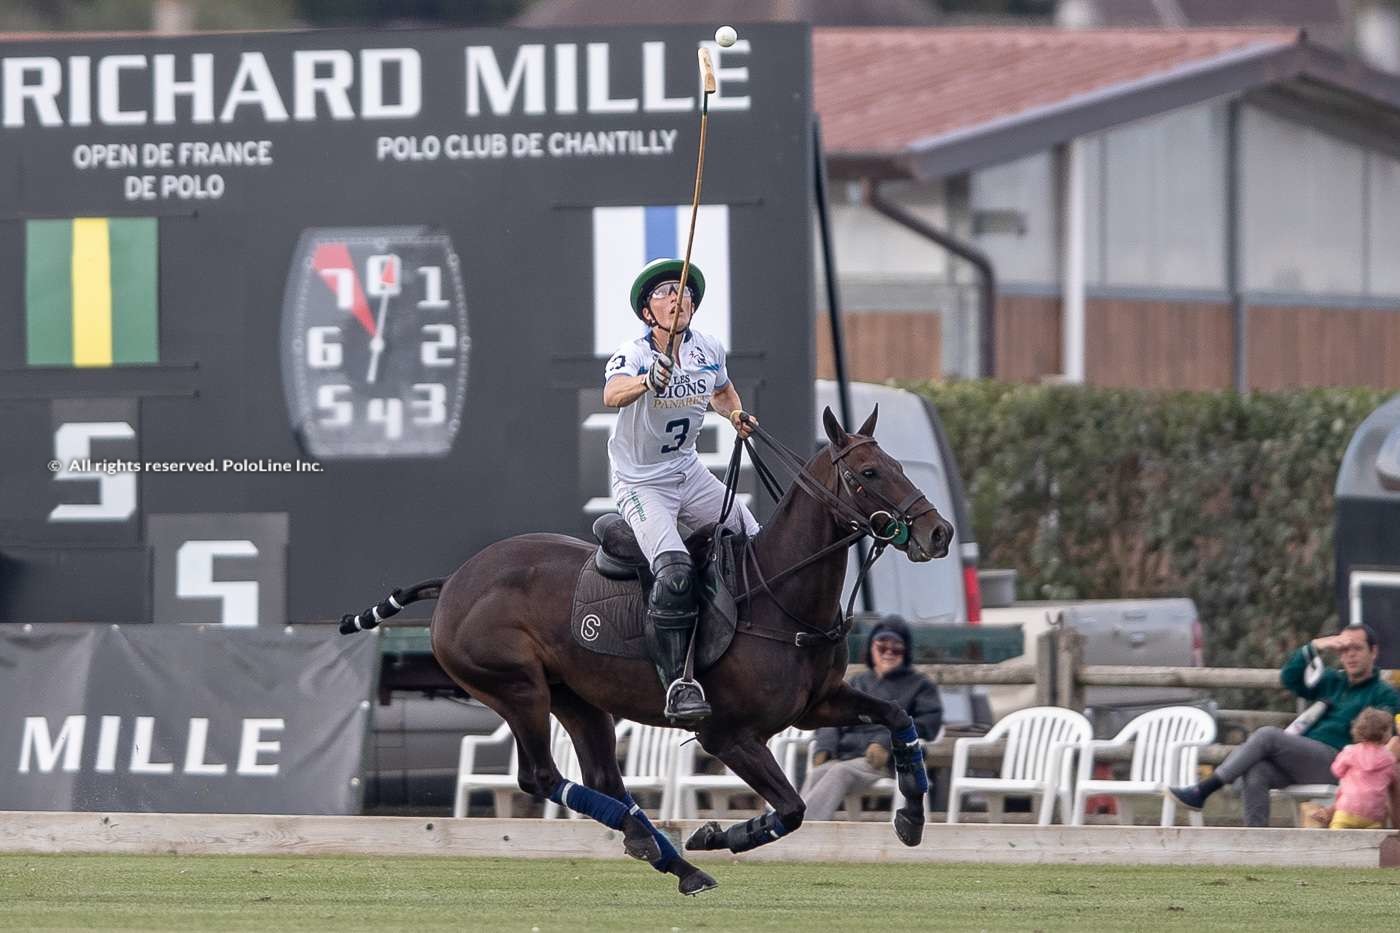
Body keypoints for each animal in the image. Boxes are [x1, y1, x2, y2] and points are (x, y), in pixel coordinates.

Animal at [338, 403, 952, 890]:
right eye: (869, 472)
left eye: (899, 467)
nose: (938, 532)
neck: (780, 595)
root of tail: (453, 582)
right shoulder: (727, 734)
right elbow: (794, 807)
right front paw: (717, 835)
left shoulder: (817, 705)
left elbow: (897, 714)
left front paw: (911, 817)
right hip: (516, 688)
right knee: (542, 777)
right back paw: (666, 849)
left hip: (578, 698)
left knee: (602, 777)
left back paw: (665, 855)